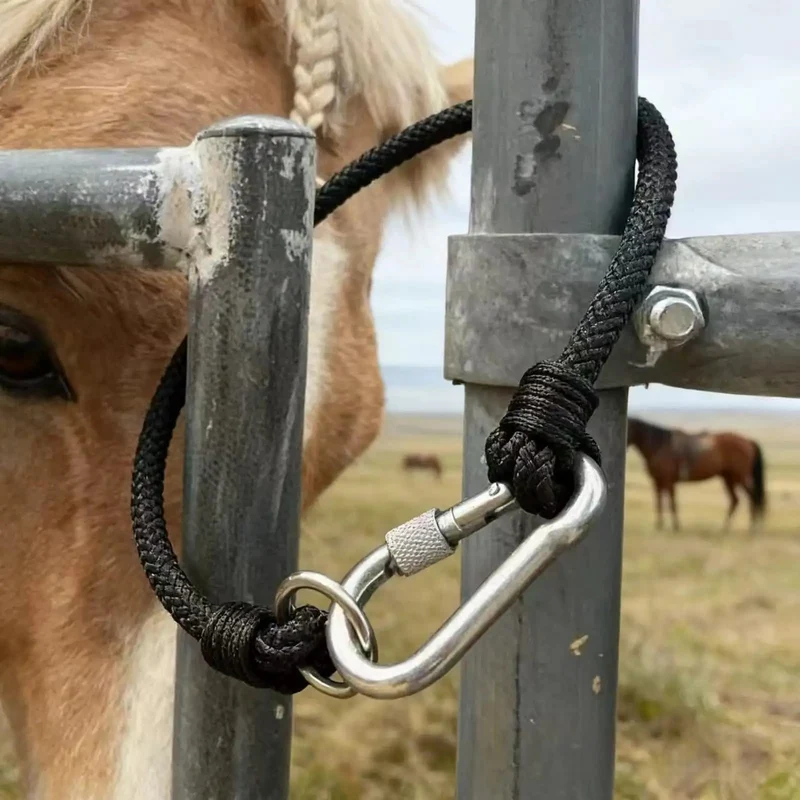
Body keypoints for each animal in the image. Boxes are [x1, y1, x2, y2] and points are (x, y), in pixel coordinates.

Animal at [626, 417, 766, 533]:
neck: (660, 446)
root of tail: (748, 441)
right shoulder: (658, 482)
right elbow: (659, 503)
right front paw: (659, 526)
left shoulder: (668, 481)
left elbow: (672, 504)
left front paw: (676, 527)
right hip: (729, 479)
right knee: (735, 500)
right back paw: (725, 528)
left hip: (740, 478)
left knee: (752, 497)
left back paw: (752, 528)